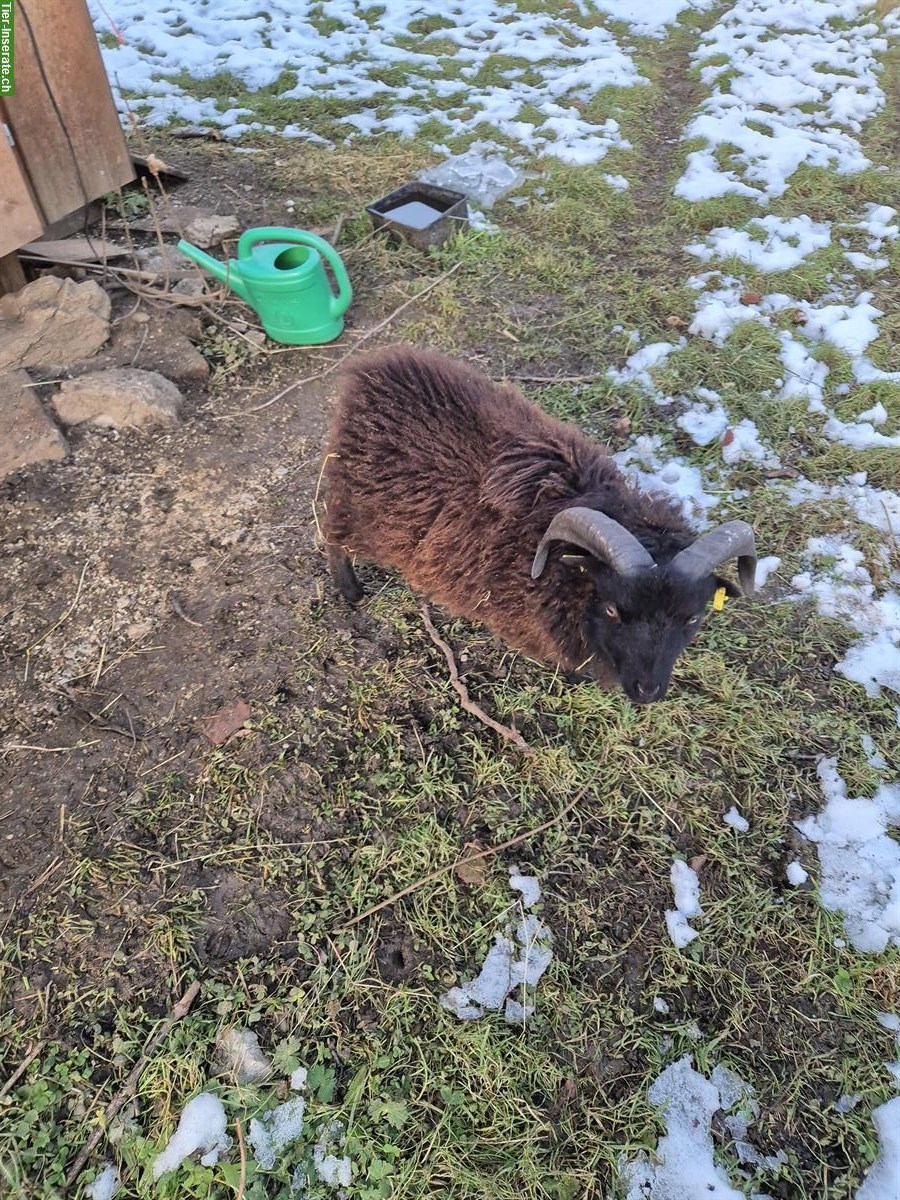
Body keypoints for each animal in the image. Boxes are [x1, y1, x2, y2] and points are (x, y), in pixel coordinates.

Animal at [321, 348, 758, 700]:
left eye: (692, 618)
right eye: (613, 610)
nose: (647, 692)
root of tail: (369, 371)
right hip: (354, 504)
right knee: (331, 536)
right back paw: (351, 591)